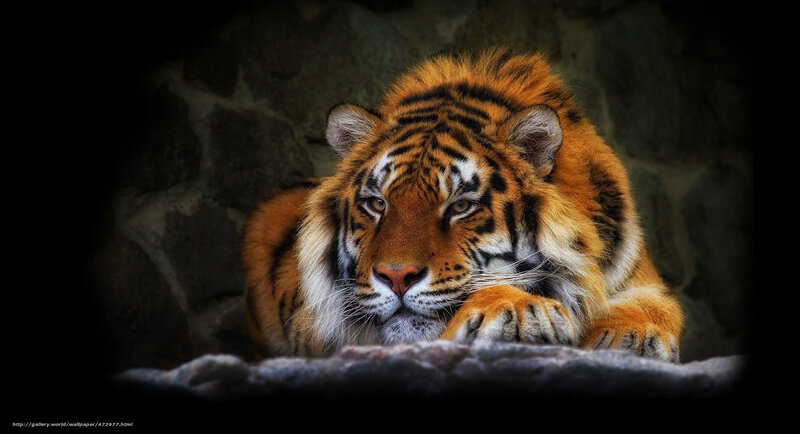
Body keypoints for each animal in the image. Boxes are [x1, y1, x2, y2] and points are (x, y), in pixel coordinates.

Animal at [242, 48, 683, 363]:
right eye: (377, 203)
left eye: (460, 206)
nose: (396, 277)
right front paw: (519, 309)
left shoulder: (640, 278)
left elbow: (654, 307)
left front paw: (630, 336)